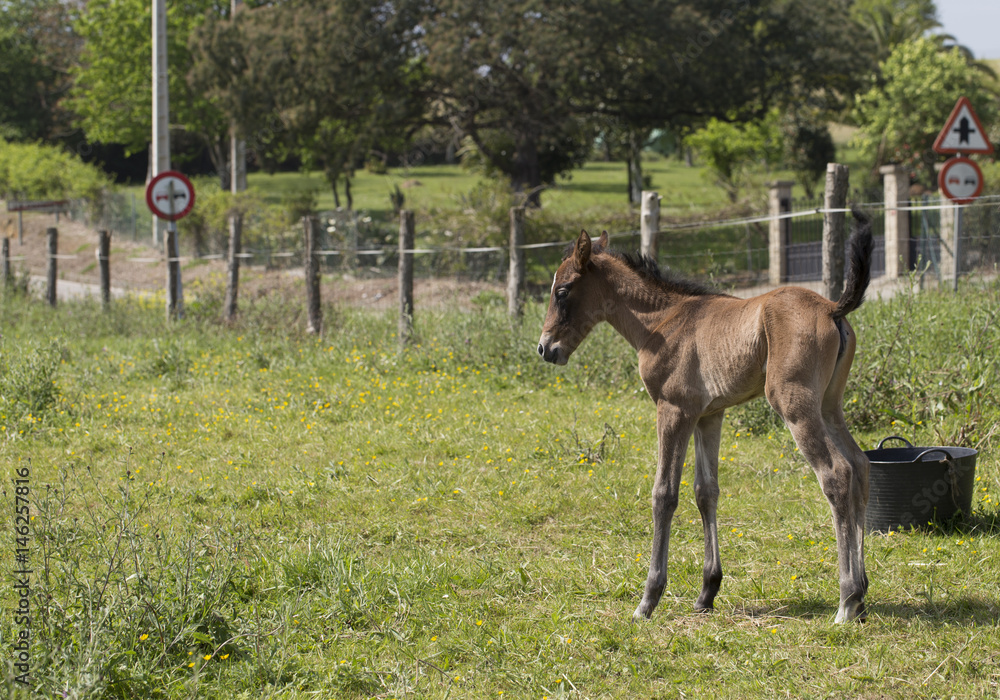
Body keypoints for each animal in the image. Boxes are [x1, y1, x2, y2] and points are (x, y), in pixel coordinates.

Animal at [537, 211, 874, 623]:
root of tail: (832, 308)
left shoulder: (674, 409)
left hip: (795, 405)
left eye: (563, 290)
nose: (545, 348)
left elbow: (664, 494)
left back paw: (846, 600)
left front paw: (648, 599)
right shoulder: (709, 415)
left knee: (836, 473)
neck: (663, 321)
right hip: (829, 405)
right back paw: (861, 595)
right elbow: (705, 491)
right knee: (860, 465)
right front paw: (707, 592)